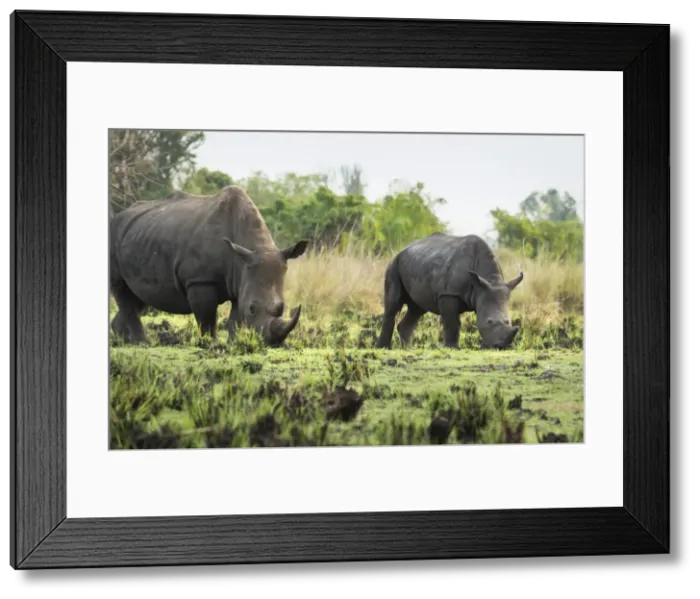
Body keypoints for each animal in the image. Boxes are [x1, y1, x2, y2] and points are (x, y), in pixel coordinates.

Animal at [109, 185, 309, 346]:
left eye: (283, 305)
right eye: (252, 308)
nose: (271, 343)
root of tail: (118, 216)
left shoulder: (240, 279)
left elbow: (235, 319)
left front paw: (232, 344)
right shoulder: (200, 280)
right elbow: (206, 318)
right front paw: (209, 344)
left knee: (138, 297)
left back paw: (122, 340)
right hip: (114, 238)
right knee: (122, 291)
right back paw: (142, 343)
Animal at [376, 232, 523, 350]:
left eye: (508, 322)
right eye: (490, 321)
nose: (502, 347)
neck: (490, 280)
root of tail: (402, 250)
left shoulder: (482, 292)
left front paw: (484, 346)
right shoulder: (449, 293)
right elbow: (452, 322)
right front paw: (453, 348)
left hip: (416, 264)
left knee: (417, 308)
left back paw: (408, 349)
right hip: (394, 264)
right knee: (393, 305)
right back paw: (383, 348)